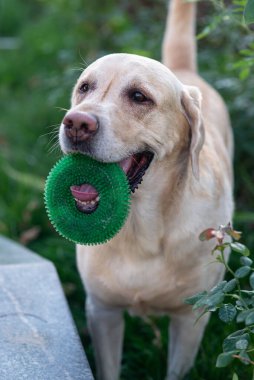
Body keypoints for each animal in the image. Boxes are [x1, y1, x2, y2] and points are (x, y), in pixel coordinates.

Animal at [58, 0, 233, 380]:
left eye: (139, 96)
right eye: (85, 88)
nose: (77, 123)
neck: (141, 226)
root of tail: (184, 70)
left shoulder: (189, 322)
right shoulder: (102, 312)